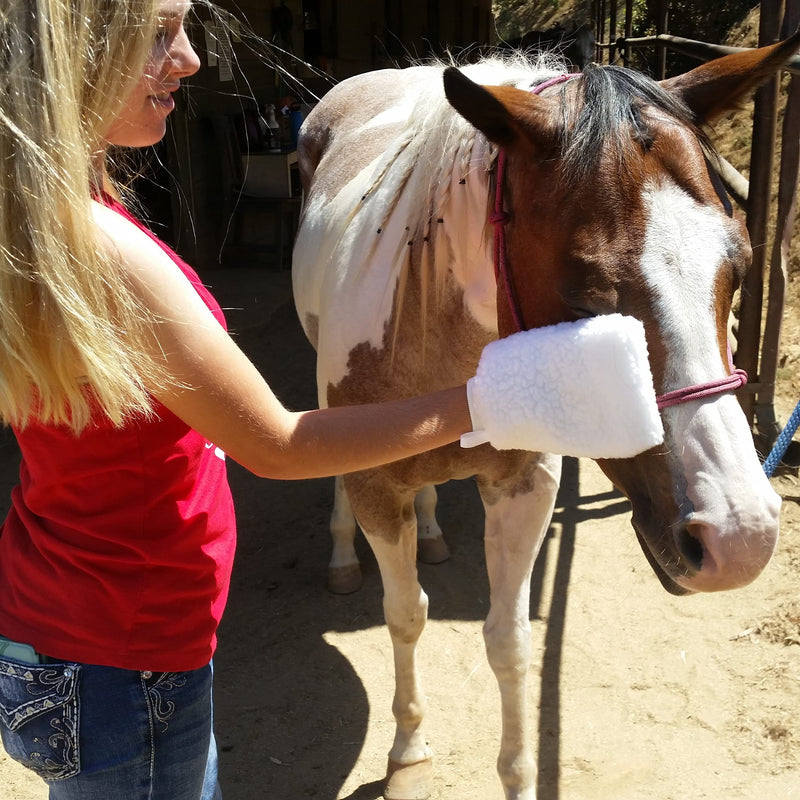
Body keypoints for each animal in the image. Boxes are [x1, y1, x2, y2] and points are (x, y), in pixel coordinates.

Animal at [291, 34, 798, 800]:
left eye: (736, 271)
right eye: (585, 296)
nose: (740, 538)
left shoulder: (525, 486)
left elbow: (510, 641)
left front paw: (517, 774)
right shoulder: (380, 490)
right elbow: (405, 616)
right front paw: (409, 753)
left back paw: (432, 532)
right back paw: (343, 555)